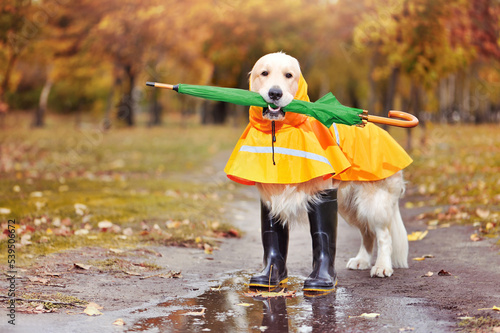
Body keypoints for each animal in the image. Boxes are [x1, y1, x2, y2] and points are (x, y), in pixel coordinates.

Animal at [236, 52, 408, 290]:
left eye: (289, 75)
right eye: (264, 73)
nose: (275, 93)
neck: (280, 130)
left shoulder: (323, 190)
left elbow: (323, 233)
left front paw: (322, 279)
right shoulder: (270, 194)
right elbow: (273, 234)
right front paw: (271, 275)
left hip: (372, 201)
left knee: (384, 235)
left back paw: (382, 267)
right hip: (349, 206)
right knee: (367, 233)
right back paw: (361, 260)